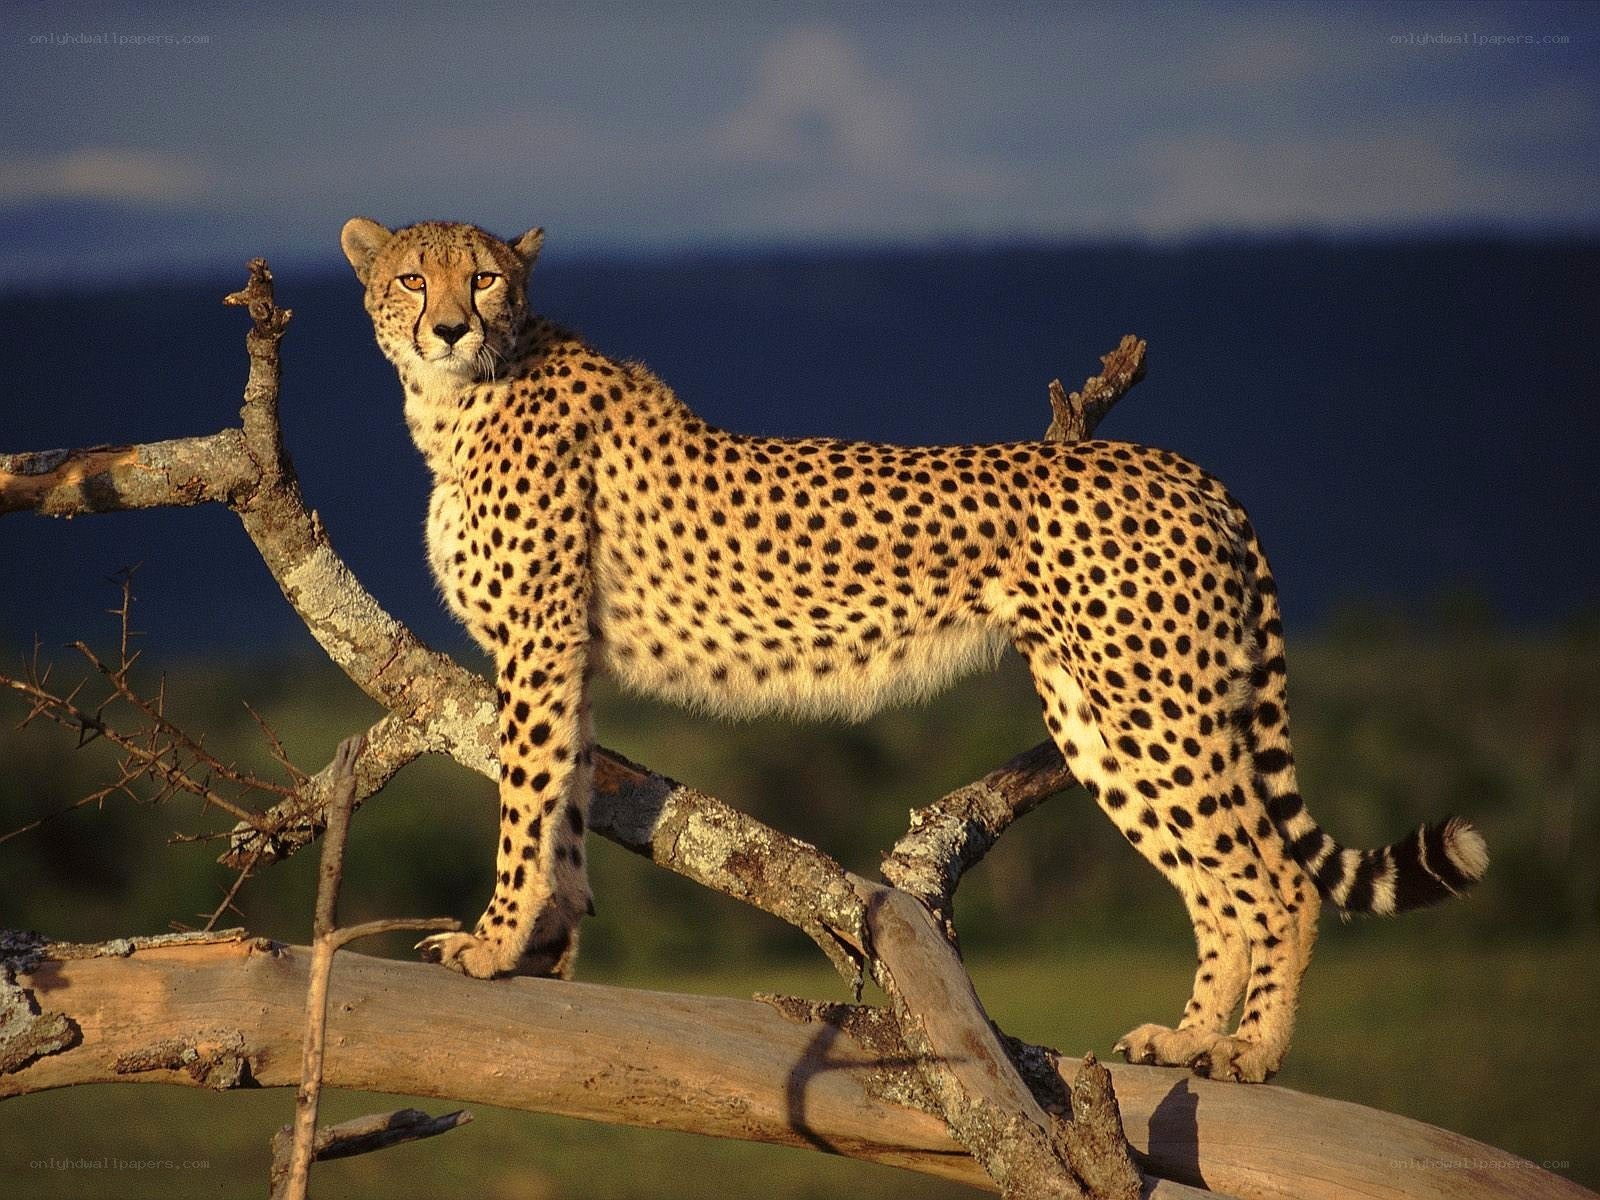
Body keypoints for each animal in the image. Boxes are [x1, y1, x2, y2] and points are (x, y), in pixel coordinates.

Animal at [340, 216, 1488, 1082]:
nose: (448, 327)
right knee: (1217, 888)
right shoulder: (566, 653)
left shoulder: (537, 644)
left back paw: (1249, 1054)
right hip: (1101, 720)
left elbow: (525, 798)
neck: (463, 397)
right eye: (412, 278)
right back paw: (1189, 1038)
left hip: (1155, 705)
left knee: (1275, 881)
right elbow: (564, 799)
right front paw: (541, 947)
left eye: (484, 277)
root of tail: (1179, 464)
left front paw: (493, 943)